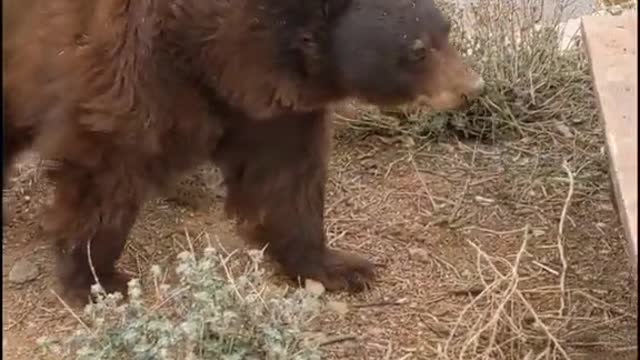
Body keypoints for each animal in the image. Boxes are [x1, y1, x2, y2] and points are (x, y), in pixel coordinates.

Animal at [3, 0, 484, 304]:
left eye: (446, 31)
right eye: (417, 49)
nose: (472, 88)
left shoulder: (268, 105)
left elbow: (285, 180)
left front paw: (340, 267)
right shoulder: (130, 60)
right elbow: (107, 166)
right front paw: (96, 276)